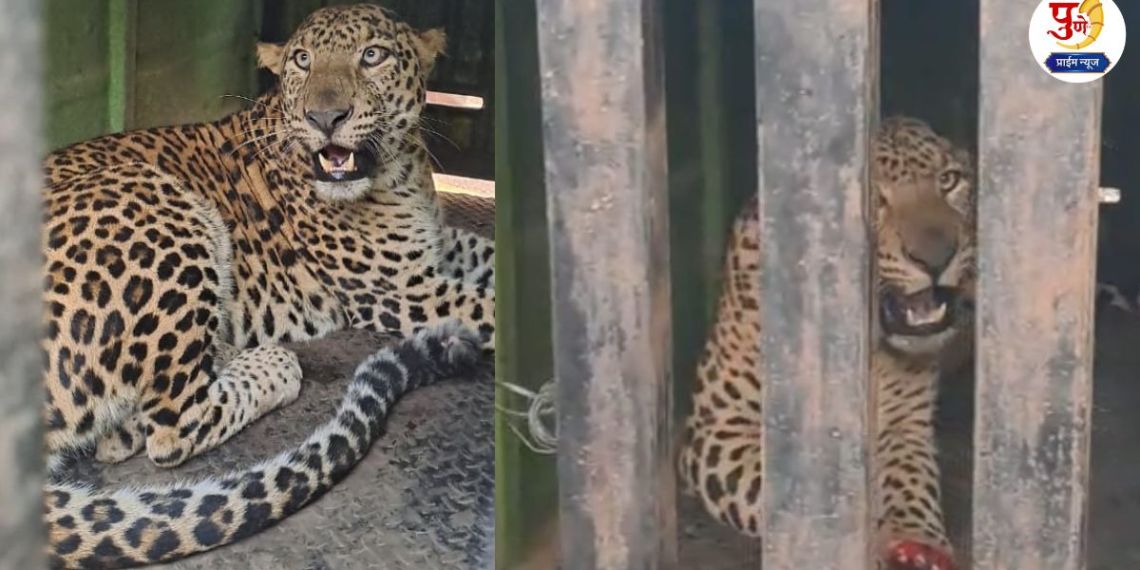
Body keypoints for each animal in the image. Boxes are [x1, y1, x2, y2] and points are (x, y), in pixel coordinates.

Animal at [39, 5, 494, 568]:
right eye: (302, 60)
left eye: (372, 55)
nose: (325, 118)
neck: (400, 172)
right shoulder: (397, 290)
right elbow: (487, 309)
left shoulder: (441, 247)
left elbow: (488, 256)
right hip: (153, 199)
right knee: (172, 426)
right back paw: (270, 363)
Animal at [677, 117, 975, 570]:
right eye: (874, 198)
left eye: (949, 180)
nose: (938, 256)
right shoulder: (719, 427)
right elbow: (789, 487)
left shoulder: (906, 423)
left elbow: (911, 480)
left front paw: (915, 543)